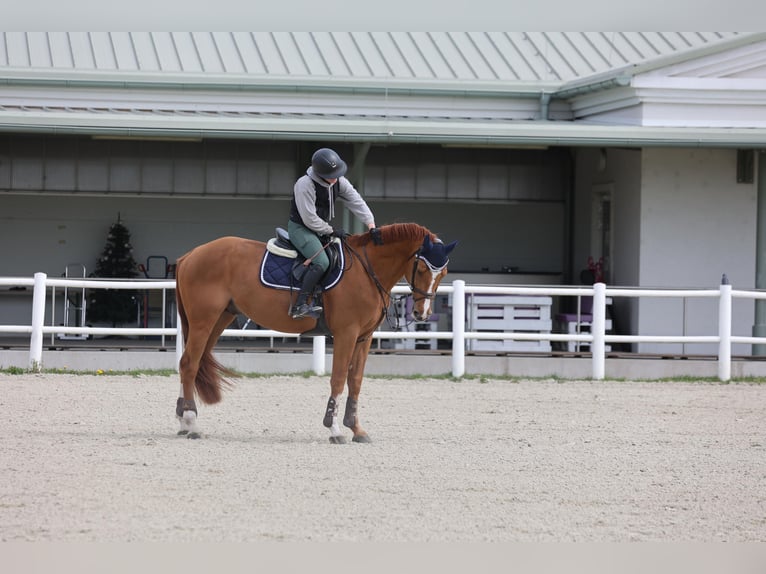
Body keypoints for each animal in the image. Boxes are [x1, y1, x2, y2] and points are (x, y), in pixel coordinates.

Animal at [173, 222, 457, 443]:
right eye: (422, 269)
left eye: (443, 272)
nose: (421, 313)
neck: (366, 270)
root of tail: (191, 254)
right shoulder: (346, 334)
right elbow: (339, 378)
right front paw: (334, 429)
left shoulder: (364, 338)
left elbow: (356, 380)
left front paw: (356, 429)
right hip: (203, 322)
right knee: (189, 364)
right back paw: (191, 422)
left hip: (220, 319)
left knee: (192, 363)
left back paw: (183, 420)